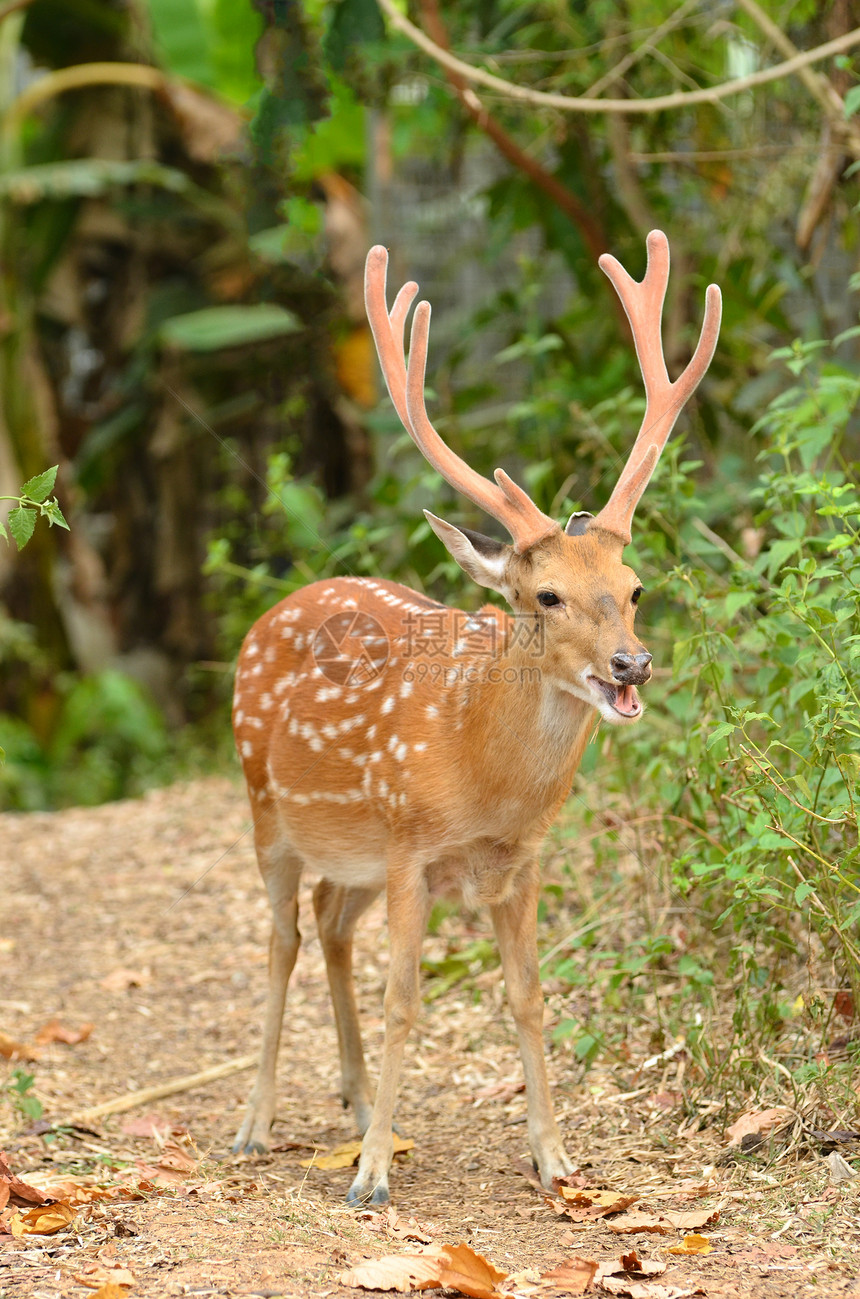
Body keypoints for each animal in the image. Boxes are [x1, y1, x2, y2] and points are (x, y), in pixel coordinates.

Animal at [232, 228, 722, 1200]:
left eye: (634, 588)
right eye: (546, 595)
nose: (632, 663)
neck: (479, 773)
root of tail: (274, 609)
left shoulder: (520, 861)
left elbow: (528, 995)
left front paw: (556, 1157)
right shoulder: (410, 845)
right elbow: (404, 999)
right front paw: (371, 1178)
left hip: (350, 852)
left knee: (330, 923)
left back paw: (355, 1103)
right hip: (266, 807)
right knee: (281, 937)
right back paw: (259, 1124)